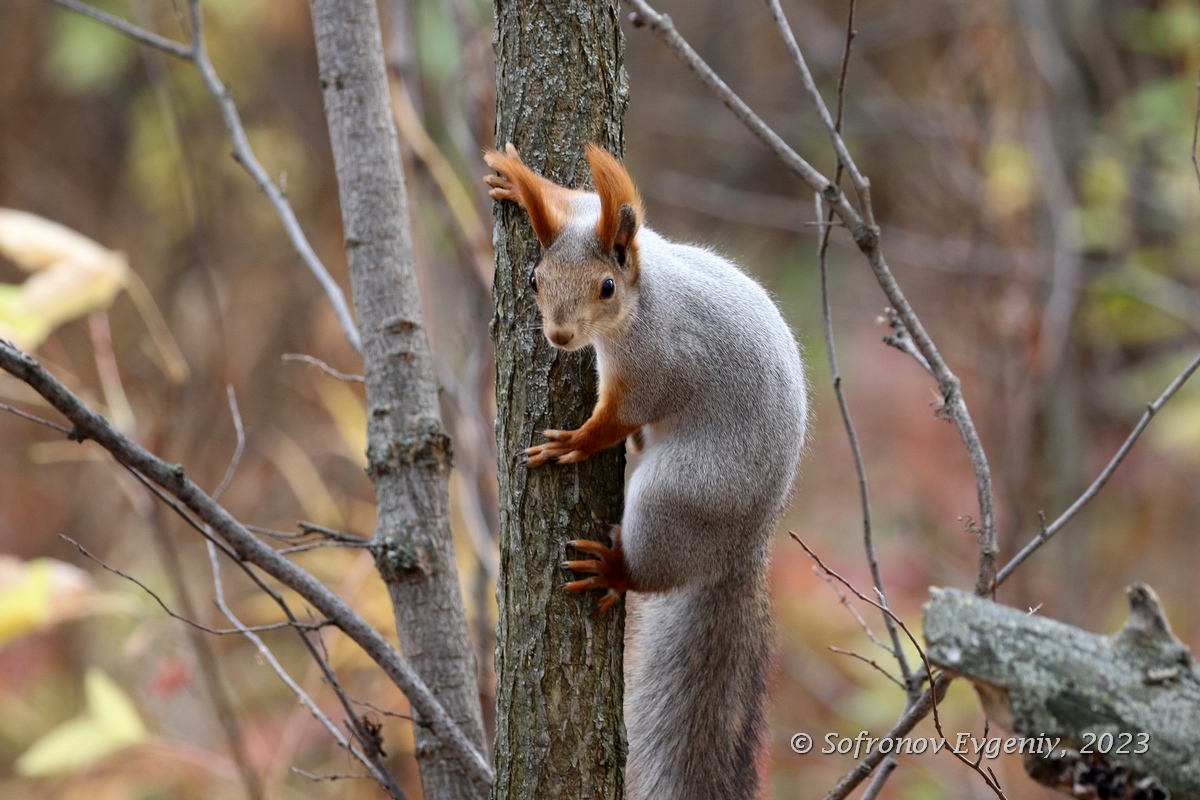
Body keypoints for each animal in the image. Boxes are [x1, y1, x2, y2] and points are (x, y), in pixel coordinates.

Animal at [484, 145, 806, 800]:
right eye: (534, 279)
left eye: (606, 287)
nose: (560, 335)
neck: (647, 294)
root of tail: (747, 541)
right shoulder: (620, 225)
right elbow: (579, 200)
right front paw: (519, 182)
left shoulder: (657, 366)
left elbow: (618, 418)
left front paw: (573, 444)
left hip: (677, 495)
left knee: (651, 566)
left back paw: (615, 568)